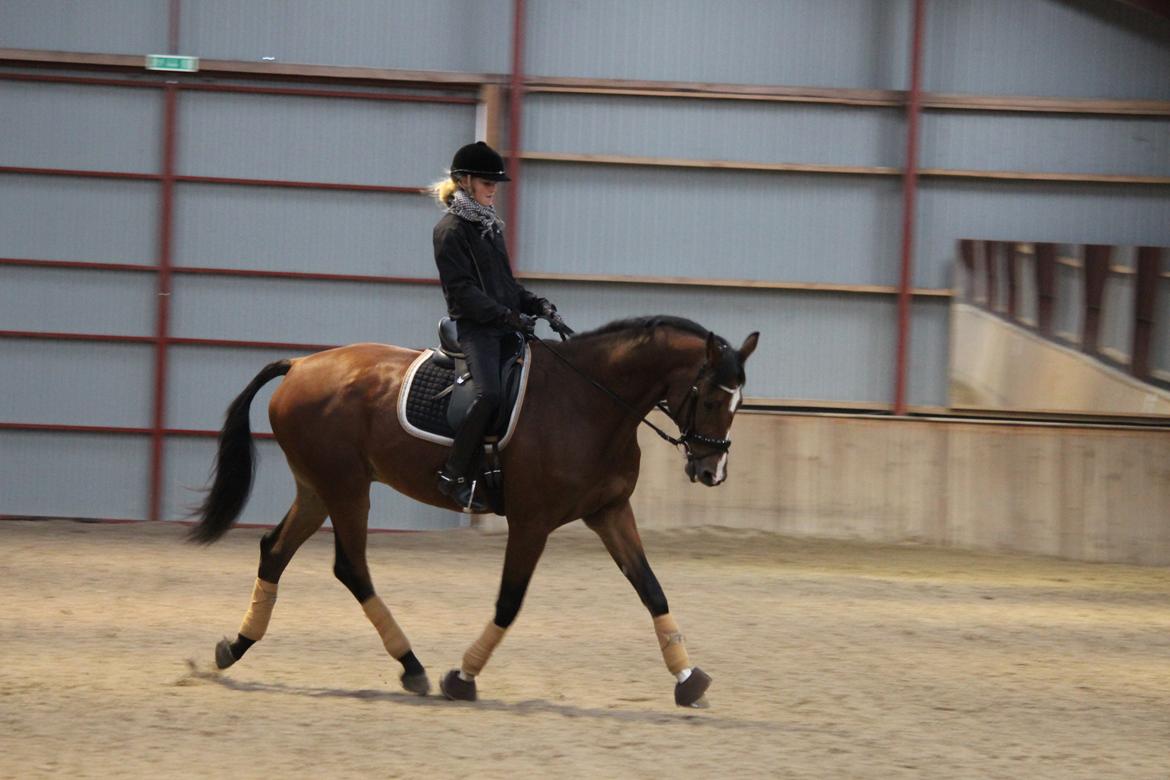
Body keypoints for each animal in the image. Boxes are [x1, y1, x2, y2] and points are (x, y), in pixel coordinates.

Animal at [187, 313, 758, 706]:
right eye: (711, 398)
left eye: (738, 404)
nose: (712, 472)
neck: (589, 403)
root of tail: (300, 365)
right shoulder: (532, 522)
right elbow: (509, 601)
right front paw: (462, 677)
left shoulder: (610, 513)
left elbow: (651, 590)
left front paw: (689, 679)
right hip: (347, 490)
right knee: (350, 567)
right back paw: (412, 666)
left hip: (316, 488)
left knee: (274, 551)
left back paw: (233, 648)